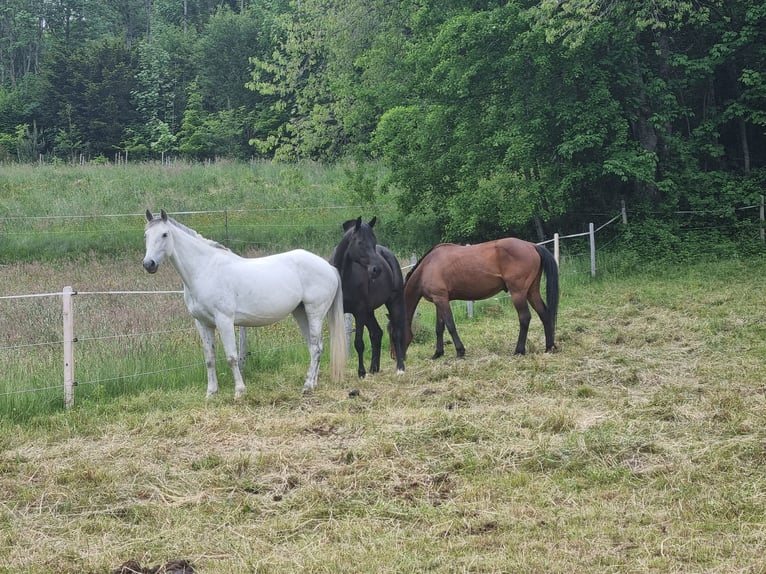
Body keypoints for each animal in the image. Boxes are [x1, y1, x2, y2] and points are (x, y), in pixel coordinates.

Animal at [142, 209, 346, 396]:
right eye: (146, 235)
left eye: (164, 234)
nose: (148, 264)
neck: (205, 270)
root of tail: (329, 267)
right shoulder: (203, 323)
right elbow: (209, 359)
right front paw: (211, 393)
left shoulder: (224, 320)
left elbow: (231, 357)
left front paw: (239, 391)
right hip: (300, 312)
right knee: (314, 346)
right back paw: (313, 383)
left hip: (315, 313)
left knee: (317, 347)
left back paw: (308, 386)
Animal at [330, 217, 407, 378]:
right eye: (360, 242)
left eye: (373, 242)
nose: (376, 270)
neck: (343, 277)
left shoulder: (359, 313)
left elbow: (359, 343)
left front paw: (361, 372)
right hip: (369, 312)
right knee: (376, 333)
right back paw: (374, 368)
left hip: (393, 302)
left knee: (396, 334)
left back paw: (400, 368)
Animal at [398, 238, 559, 360]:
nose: (396, 357)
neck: (428, 267)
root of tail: (532, 246)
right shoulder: (438, 301)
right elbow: (439, 328)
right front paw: (437, 353)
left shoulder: (441, 299)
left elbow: (450, 325)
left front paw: (460, 351)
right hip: (532, 292)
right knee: (544, 314)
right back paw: (549, 347)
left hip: (518, 294)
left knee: (525, 318)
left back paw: (519, 350)